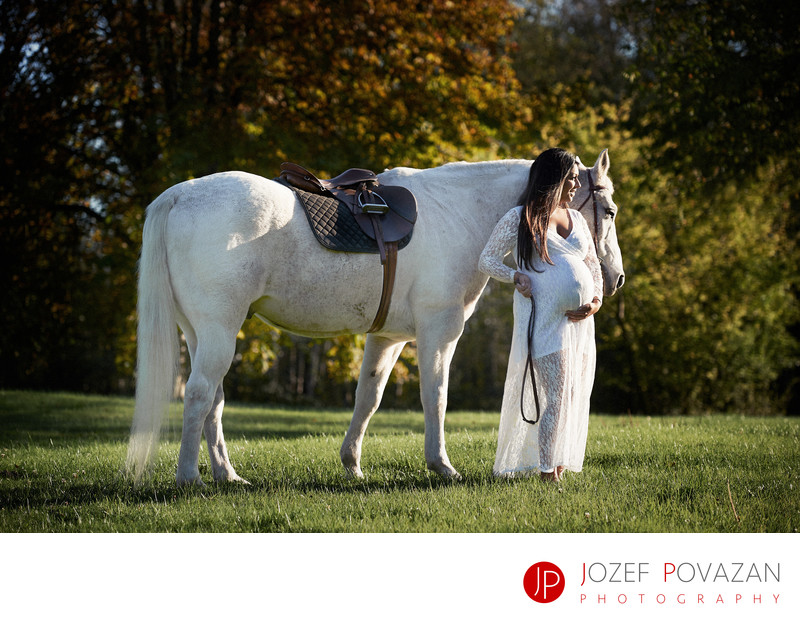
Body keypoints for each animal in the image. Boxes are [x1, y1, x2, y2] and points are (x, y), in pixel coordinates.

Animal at [126, 151, 624, 486]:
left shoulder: (387, 338)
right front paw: (442, 466)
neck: (457, 213)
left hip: (202, 333)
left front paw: (352, 464)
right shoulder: (439, 332)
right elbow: (435, 397)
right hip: (218, 330)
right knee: (199, 394)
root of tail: (180, 195)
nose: (615, 278)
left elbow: (368, 398)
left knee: (213, 401)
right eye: (609, 211)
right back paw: (189, 477)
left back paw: (227, 475)